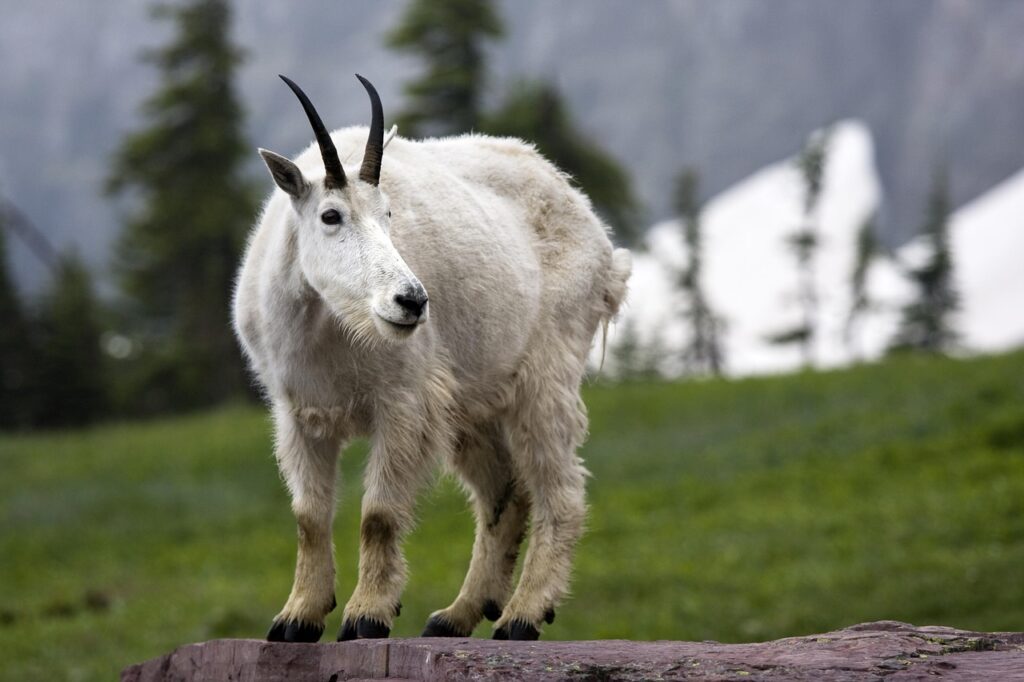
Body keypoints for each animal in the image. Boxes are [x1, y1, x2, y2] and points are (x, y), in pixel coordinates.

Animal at [233, 74, 632, 642]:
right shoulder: (300, 415)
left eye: (389, 215)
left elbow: (378, 514)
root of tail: (596, 232)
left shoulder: (404, 402)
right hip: (473, 402)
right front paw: (297, 618)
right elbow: (308, 517)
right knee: (503, 493)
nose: (412, 301)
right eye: (331, 215)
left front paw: (366, 615)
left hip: (545, 377)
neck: (330, 326)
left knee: (560, 489)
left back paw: (522, 615)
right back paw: (456, 614)